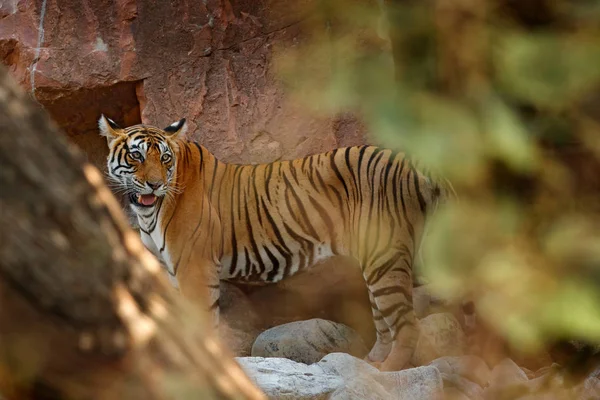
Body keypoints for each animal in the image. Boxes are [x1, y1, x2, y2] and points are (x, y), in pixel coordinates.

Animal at [98, 114, 448, 370]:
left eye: (165, 159)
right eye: (136, 156)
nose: (155, 185)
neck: (149, 212)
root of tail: (408, 161)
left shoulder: (194, 268)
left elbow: (202, 323)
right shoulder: (170, 271)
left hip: (384, 257)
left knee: (408, 325)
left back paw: (388, 372)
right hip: (377, 262)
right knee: (384, 321)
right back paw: (371, 364)